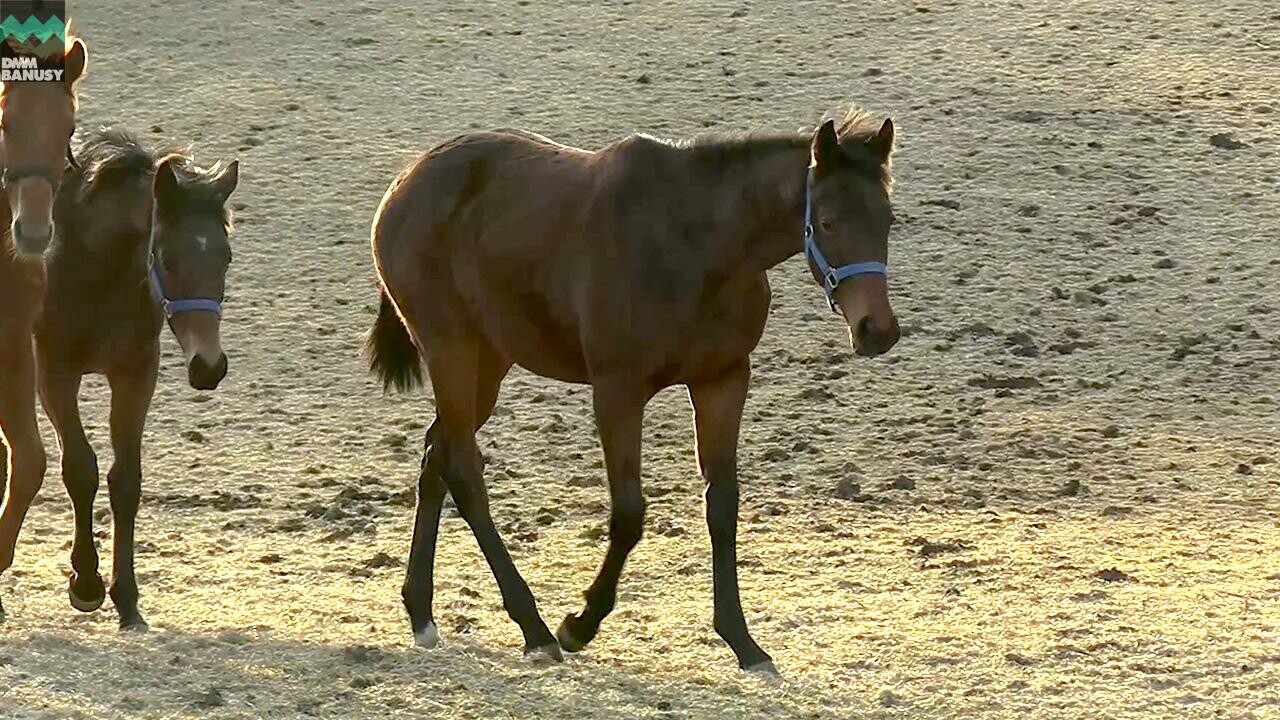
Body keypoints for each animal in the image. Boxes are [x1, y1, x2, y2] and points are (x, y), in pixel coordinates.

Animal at [35, 126, 239, 625]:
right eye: (165, 258)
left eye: (225, 257)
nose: (209, 366)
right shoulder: (54, 373)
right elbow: (80, 469)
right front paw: (86, 584)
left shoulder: (135, 373)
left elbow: (126, 479)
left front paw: (126, 596)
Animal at [368, 107, 901, 671]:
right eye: (828, 221)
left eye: (887, 220)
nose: (876, 330)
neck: (696, 246)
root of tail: (407, 181)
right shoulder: (617, 390)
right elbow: (628, 513)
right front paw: (580, 624)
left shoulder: (722, 380)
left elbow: (722, 505)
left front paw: (742, 641)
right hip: (451, 350)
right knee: (466, 473)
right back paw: (535, 629)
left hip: (488, 363)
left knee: (438, 456)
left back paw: (421, 613)